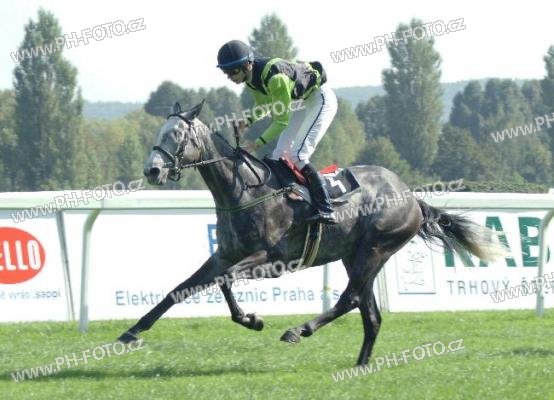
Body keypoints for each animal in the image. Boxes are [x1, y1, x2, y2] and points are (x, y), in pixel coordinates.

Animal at [117, 101, 507, 366]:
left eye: (177, 135)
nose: (152, 170)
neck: (243, 191)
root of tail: (412, 198)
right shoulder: (224, 254)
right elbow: (180, 289)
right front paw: (131, 332)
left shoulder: (269, 258)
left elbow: (225, 281)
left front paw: (252, 319)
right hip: (356, 255)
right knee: (370, 313)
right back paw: (361, 365)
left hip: (376, 249)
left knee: (349, 300)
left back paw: (298, 330)